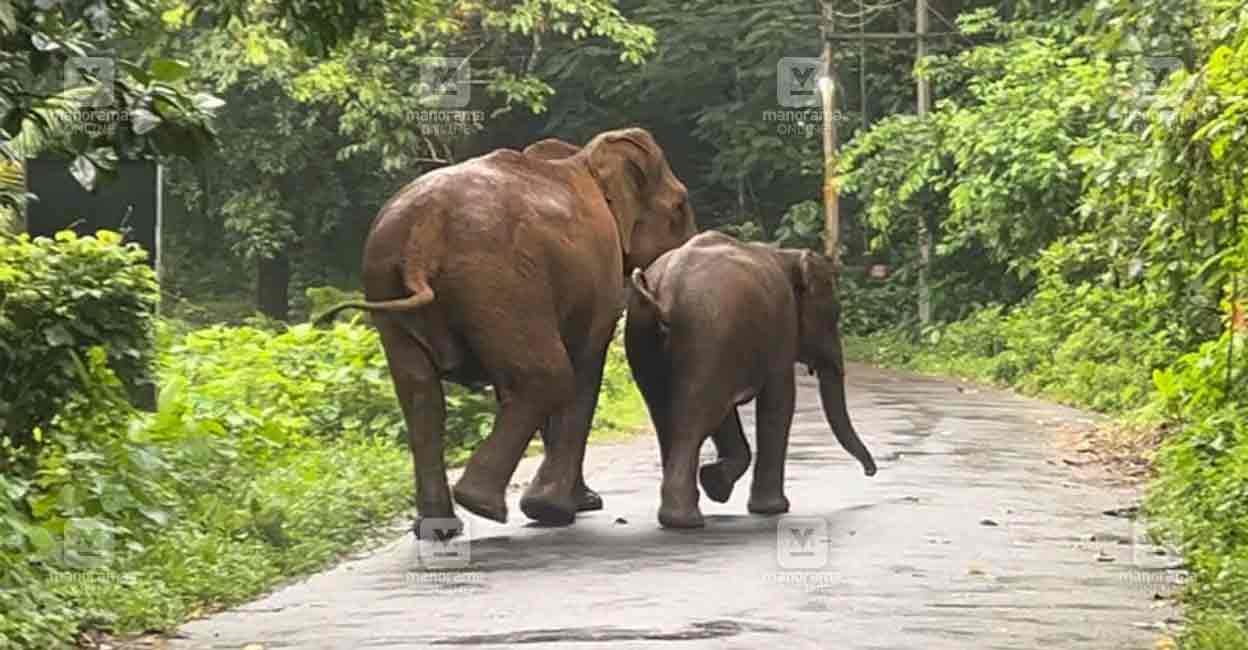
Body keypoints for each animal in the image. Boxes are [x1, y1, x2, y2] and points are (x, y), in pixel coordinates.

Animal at [316, 127, 698, 531]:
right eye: (680, 206)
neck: (583, 158)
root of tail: (424, 230)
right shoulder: (599, 274)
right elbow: (585, 365)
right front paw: (561, 509)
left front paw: (576, 504)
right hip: (501, 280)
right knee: (547, 376)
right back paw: (483, 505)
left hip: (392, 284)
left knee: (421, 394)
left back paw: (441, 527)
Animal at [624, 232, 878, 526]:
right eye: (835, 313)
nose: (870, 471)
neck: (786, 256)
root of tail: (663, 290)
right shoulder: (781, 326)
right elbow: (779, 402)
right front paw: (770, 508)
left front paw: (716, 483)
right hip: (705, 336)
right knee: (694, 417)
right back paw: (685, 520)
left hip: (646, 337)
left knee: (671, 415)